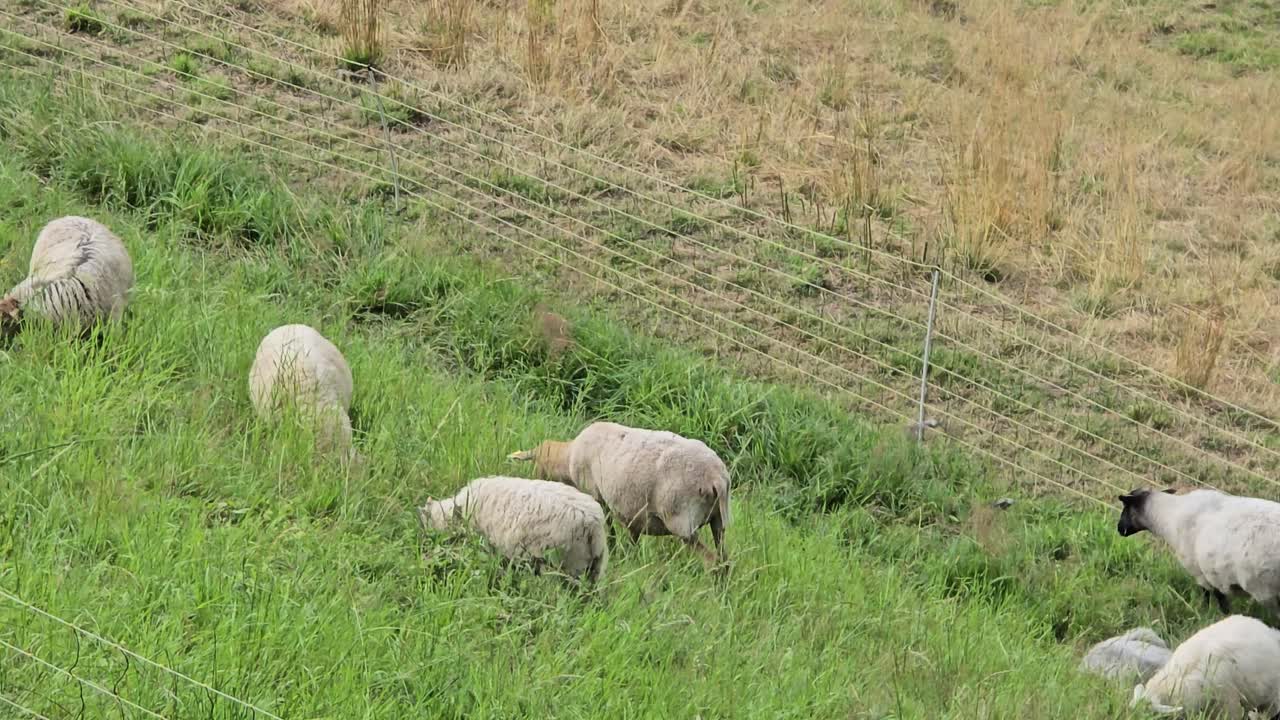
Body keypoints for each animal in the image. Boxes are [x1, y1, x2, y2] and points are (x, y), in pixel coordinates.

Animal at [507, 421, 731, 567]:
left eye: (537, 464)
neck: (567, 456)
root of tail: (716, 478)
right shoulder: (634, 513)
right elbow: (632, 534)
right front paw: (630, 557)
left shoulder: (595, 493)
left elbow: (609, 528)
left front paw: (614, 551)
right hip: (718, 519)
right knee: (724, 559)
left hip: (682, 520)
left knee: (712, 562)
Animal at [1116, 487, 1280, 617]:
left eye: (1126, 507)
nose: (1119, 529)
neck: (1166, 516)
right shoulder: (1213, 574)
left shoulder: (1200, 572)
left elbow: (1212, 596)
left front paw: (1209, 613)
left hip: (1266, 590)